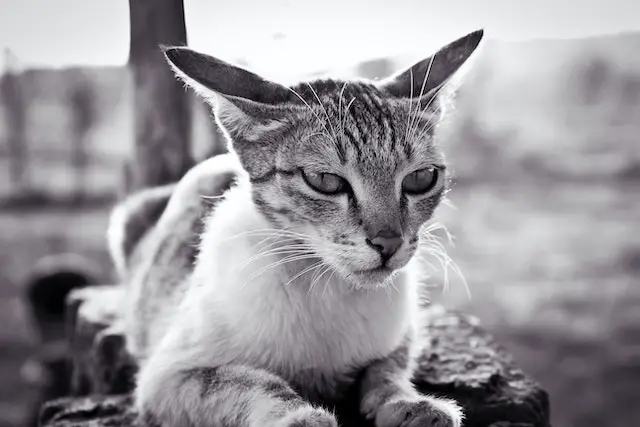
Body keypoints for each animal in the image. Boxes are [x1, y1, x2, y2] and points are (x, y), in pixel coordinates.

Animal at [107, 29, 482, 427]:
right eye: (325, 181)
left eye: (420, 179)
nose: (389, 242)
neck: (327, 286)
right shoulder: (168, 377)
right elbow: (249, 381)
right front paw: (300, 415)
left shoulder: (402, 337)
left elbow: (386, 372)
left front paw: (409, 403)